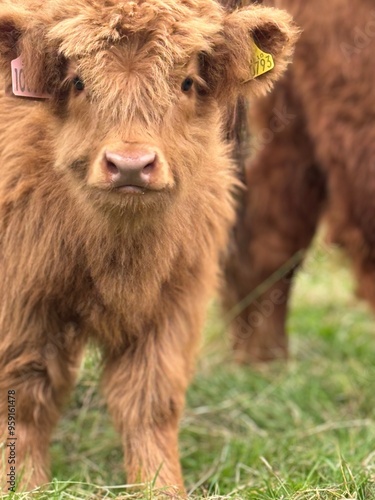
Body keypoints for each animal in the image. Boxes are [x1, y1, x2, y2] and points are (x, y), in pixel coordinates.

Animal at [0, 0, 300, 492]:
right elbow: (25, 398)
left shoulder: (175, 299)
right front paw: (26, 487)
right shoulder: (23, 300)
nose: (130, 165)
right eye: (78, 81)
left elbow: (149, 402)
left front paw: (161, 486)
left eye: (187, 82)